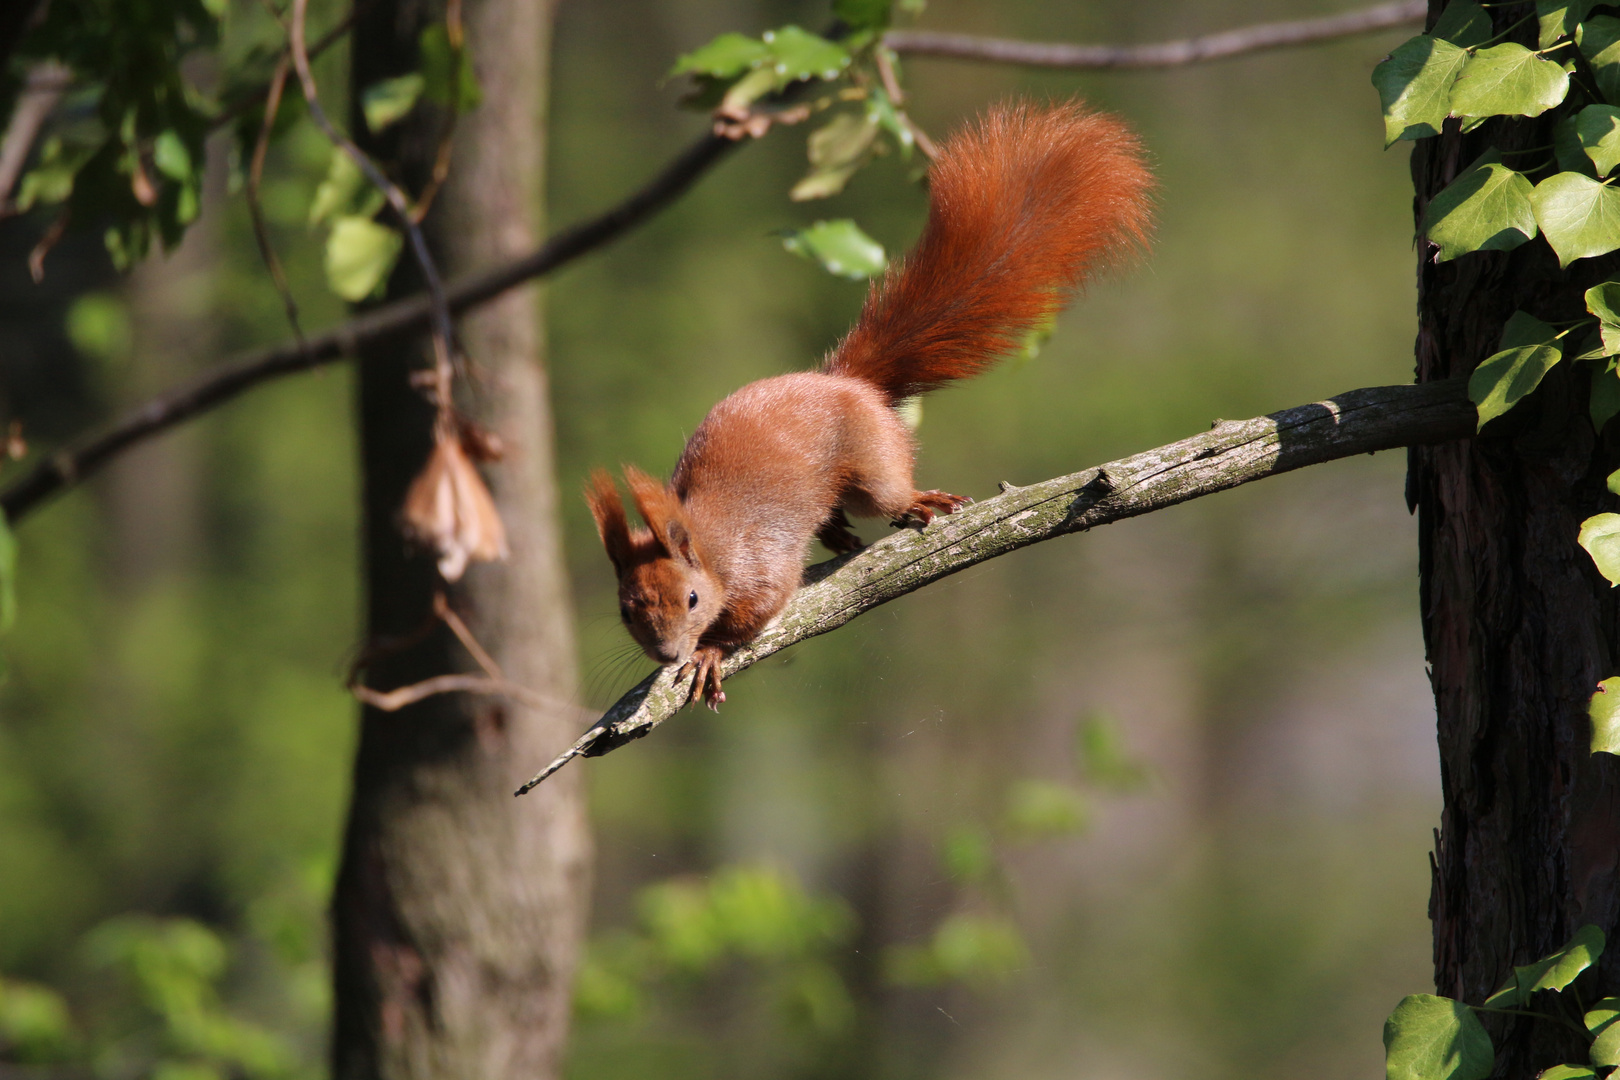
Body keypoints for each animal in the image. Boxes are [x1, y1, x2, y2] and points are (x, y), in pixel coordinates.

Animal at [589, 101, 1159, 709]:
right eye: (626, 611)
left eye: (693, 599)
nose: (666, 653)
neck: (708, 541)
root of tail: (845, 383)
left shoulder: (760, 566)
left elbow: (760, 610)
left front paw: (710, 653)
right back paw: (836, 532)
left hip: (871, 465)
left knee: (884, 492)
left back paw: (915, 502)